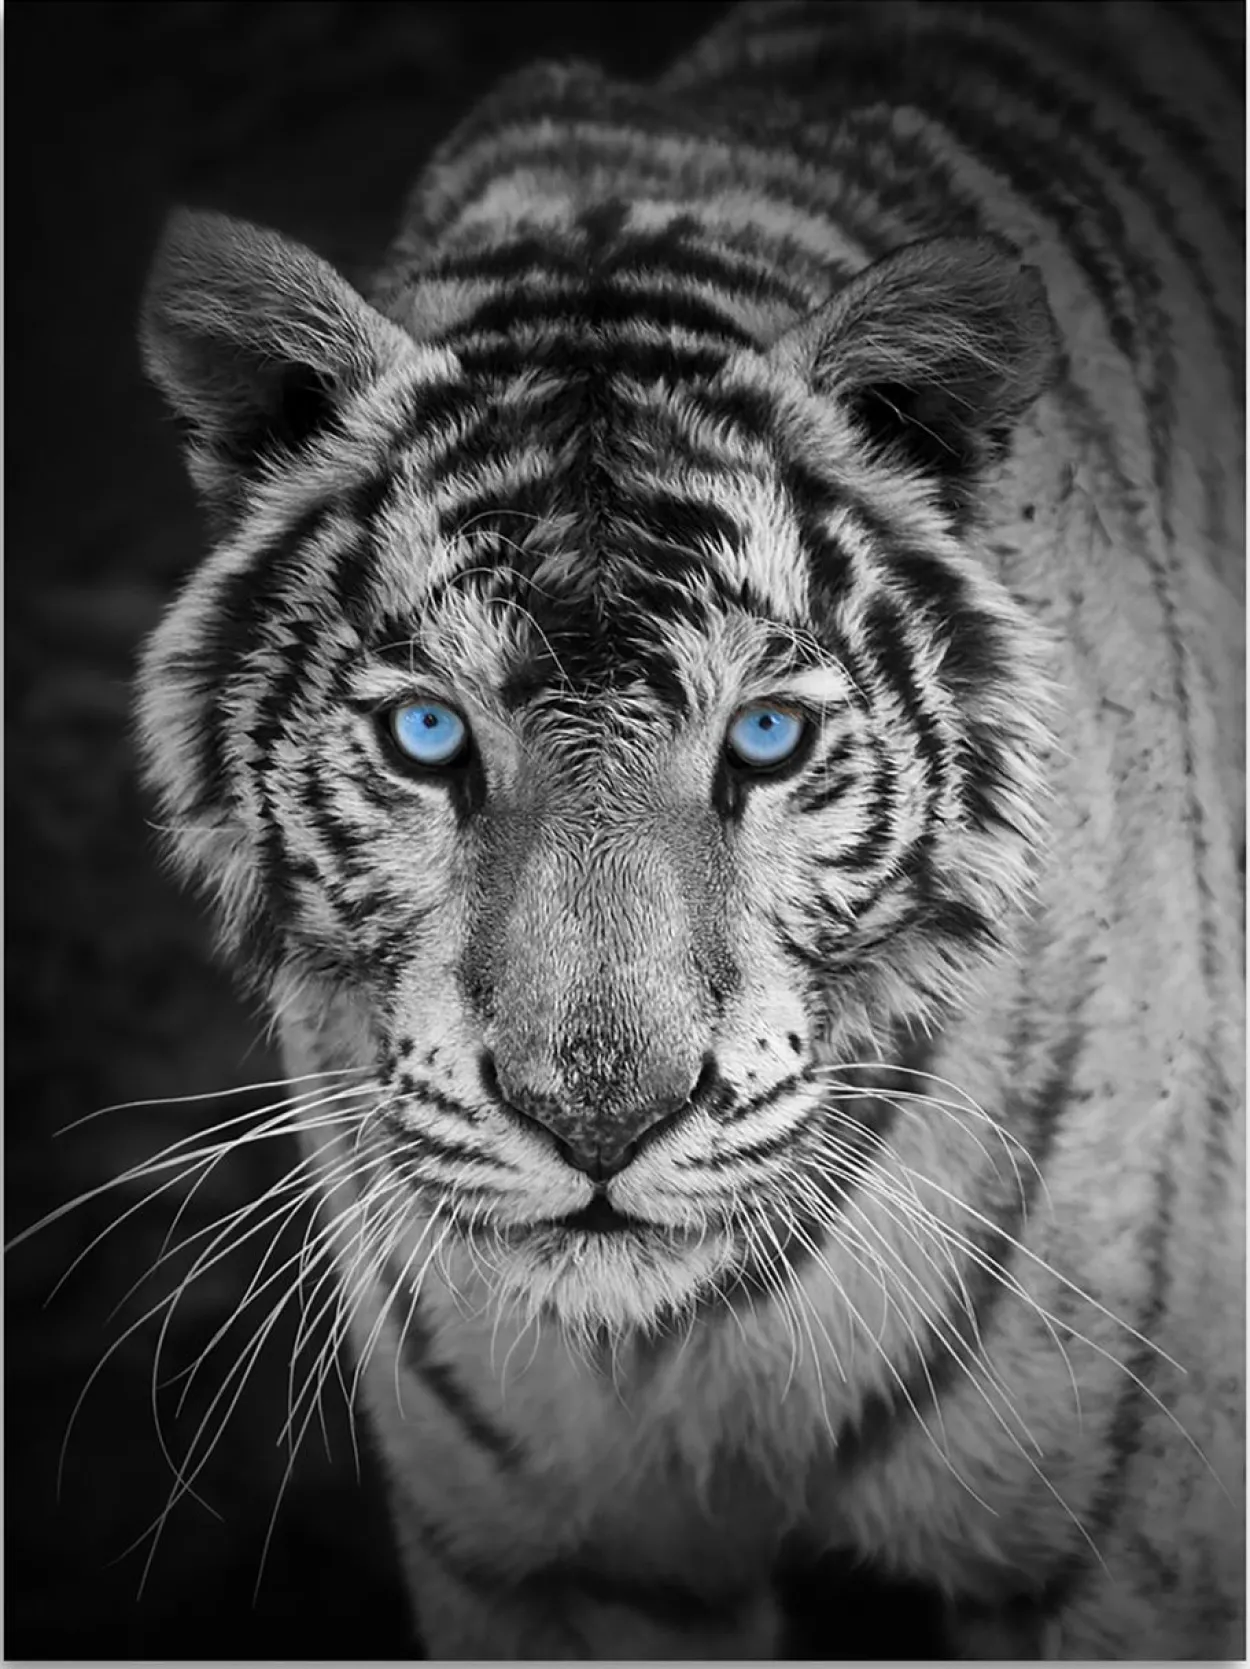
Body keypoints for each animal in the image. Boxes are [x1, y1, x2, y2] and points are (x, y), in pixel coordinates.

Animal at [134, 0, 1245, 1658]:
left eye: (765, 740)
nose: (599, 1120)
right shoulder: (553, 1565)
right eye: (426, 735)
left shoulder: (1120, 1558)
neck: (680, 1349)